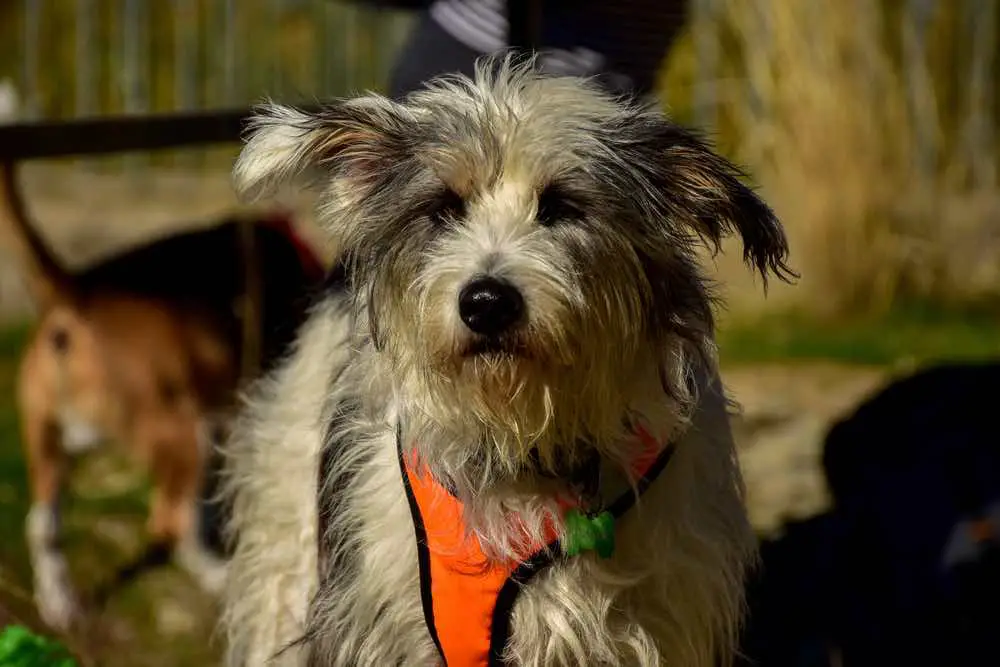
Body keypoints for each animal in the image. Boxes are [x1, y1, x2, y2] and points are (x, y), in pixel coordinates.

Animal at [0, 160, 324, 632]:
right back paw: (219, 577)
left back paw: (60, 603)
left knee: (43, 524)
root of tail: (75, 295)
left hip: (52, 441)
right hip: (186, 434)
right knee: (167, 521)